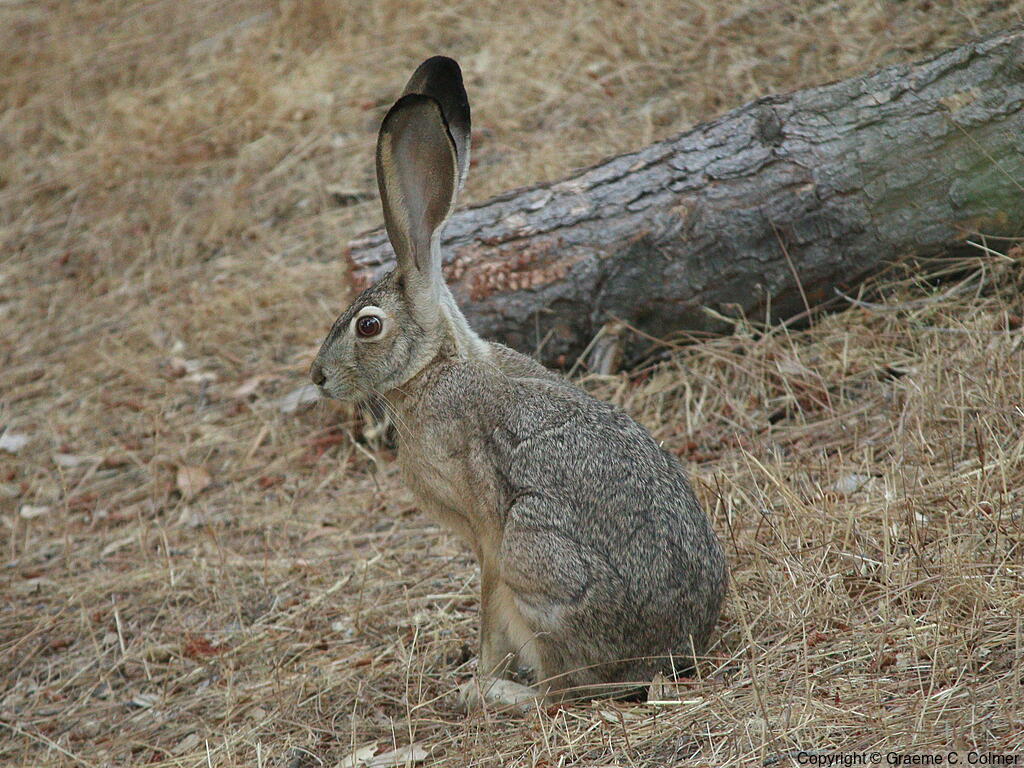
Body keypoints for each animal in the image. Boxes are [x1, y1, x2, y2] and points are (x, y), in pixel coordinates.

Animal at [310, 56, 726, 710]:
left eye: (368, 325)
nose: (318, 377)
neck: (436, 367)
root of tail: (669, 657)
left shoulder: (485, 533)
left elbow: (486, 607)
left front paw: (476, 676)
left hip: (534, 555)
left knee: (562, 690)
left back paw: (499, 693)